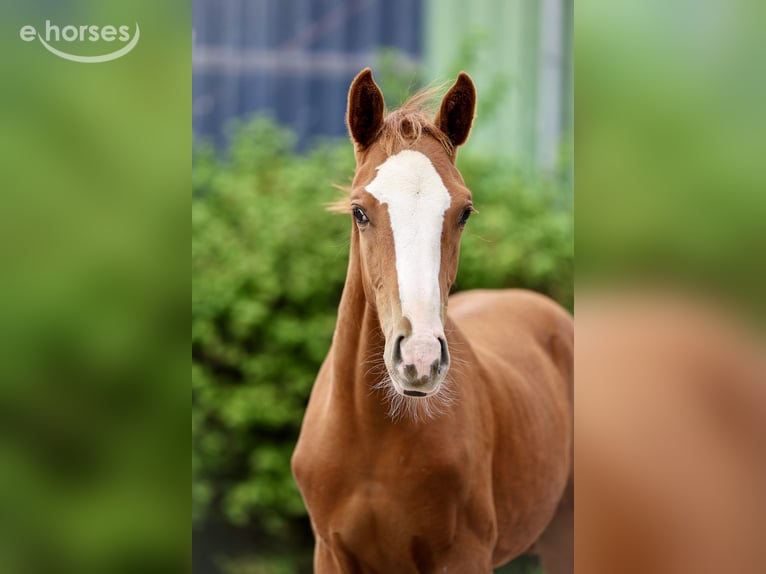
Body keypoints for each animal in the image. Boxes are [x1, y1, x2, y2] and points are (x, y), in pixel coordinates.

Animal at [291, 68, 573, 573]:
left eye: (464, 211)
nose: (419, 358)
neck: (372, 440)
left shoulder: (463, 555)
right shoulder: (330, 553)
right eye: (359, 210)